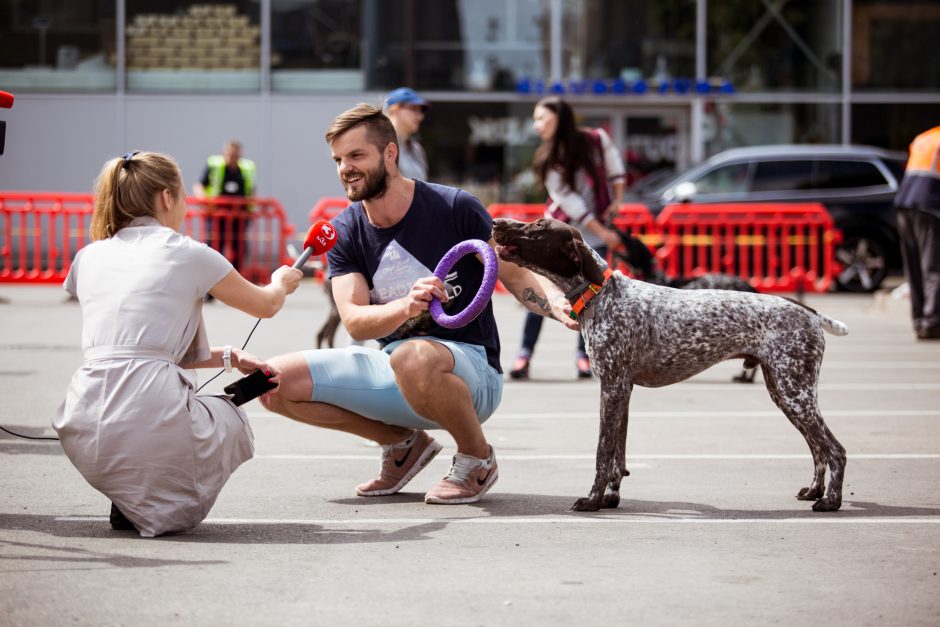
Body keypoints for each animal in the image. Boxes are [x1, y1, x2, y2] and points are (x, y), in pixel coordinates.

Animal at [492, 218, 852, 512]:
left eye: (539, 226)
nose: (496, 222)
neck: (601, 294)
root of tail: (807, 310)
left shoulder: (612, 388)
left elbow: (602, 453)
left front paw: (593, 500)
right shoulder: (622, 391)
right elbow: (618, 455)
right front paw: (610, 497)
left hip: (795, 392)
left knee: (835, 450)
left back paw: (830, 501)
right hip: (784, 392)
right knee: (818, 449)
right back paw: (814, 491)